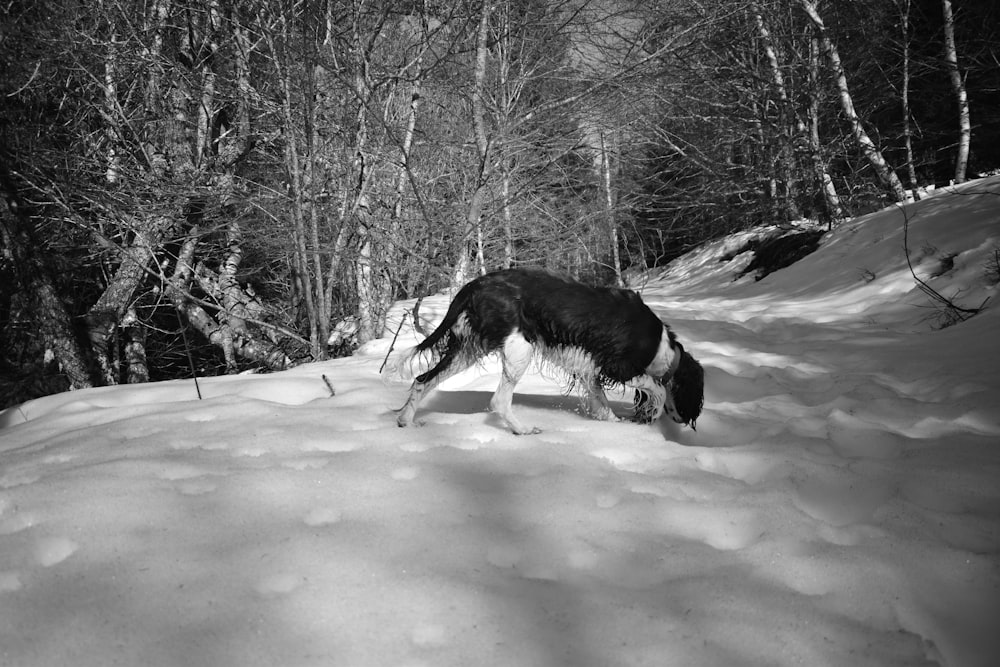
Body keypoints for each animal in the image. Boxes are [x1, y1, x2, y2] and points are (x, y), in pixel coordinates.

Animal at [386, 268, 708, 436]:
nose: (684, 421)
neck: (663, 345)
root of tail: (473, 285)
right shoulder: (617, 367)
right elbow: (659, 388)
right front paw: (649, 416)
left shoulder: (589, 369)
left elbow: (602, 405)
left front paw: (615, 425)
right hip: (519, 348)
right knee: (499, 400)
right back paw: (523, 430)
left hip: (468, 348)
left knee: (423, 380)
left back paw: (406, 421)